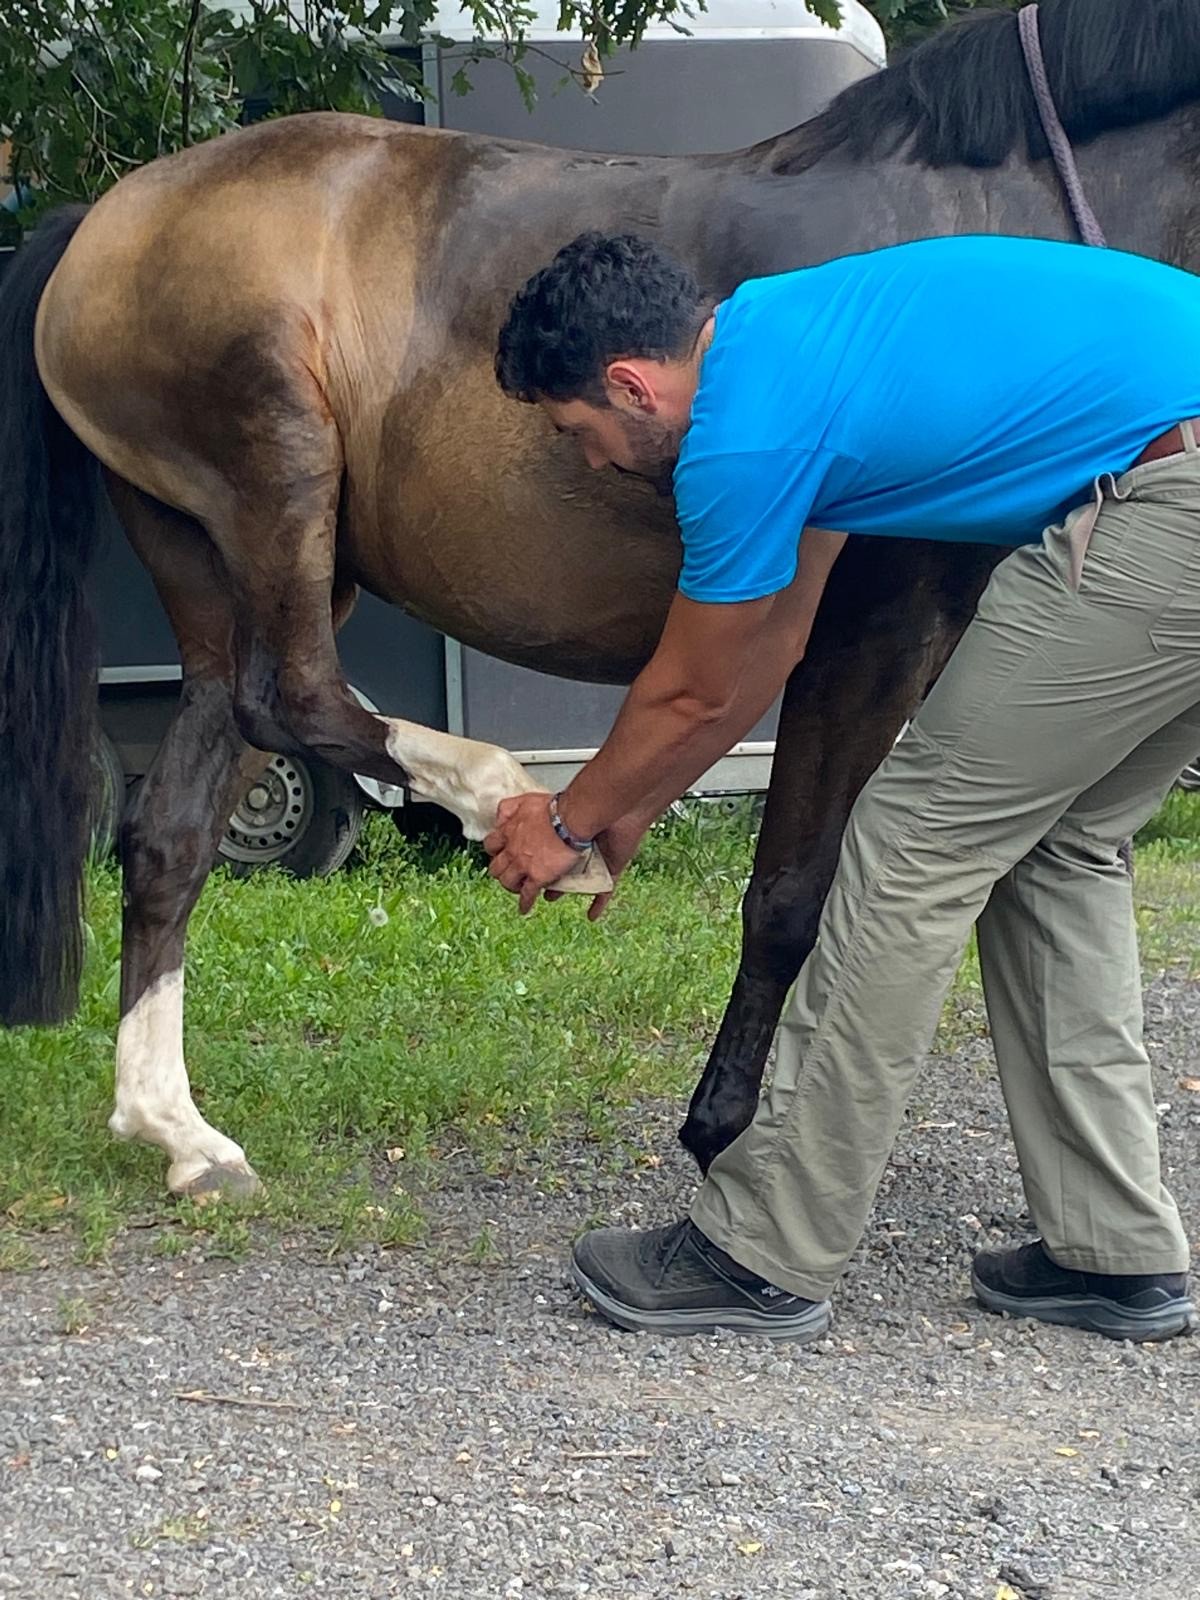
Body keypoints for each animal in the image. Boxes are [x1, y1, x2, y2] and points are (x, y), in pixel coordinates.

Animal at [2, 0, 1197, 1202]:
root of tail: (110, 216)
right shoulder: (870, 633)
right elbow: (791, 895)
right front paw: (724, 1135)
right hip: (279, 481)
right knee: (287, 694)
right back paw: (510, 809)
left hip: (217, 562)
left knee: (174, 830)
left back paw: (179, 1134)